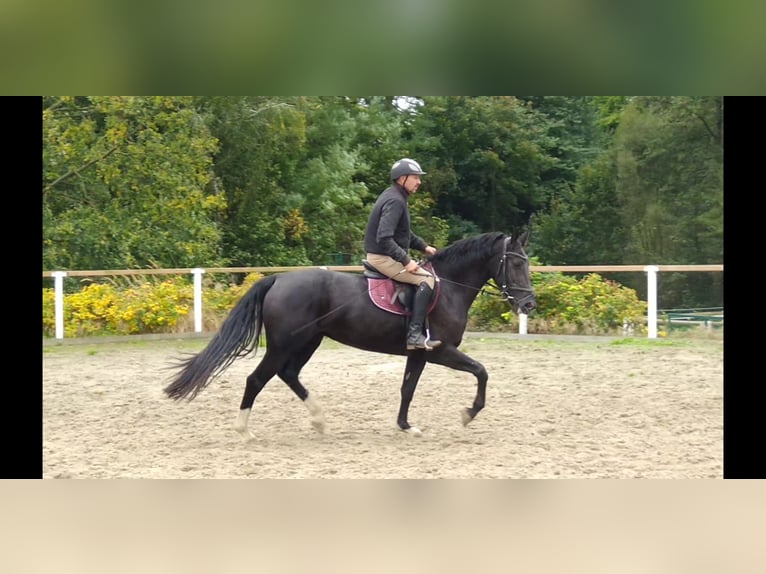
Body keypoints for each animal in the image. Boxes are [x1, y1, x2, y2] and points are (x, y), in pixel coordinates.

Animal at [164, 232, 536, 438]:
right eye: (516, 264)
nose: (529, 304)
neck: (448, 288)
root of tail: (278, 278)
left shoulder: (417, 353)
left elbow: (407, 389)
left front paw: (405, 426)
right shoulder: (439, 351)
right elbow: (481, 371)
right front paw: (468, 413)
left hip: (308, 341)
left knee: (288, 374)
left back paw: (318, 420)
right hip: (284, 344)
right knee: (257, 379)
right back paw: (245, 431)